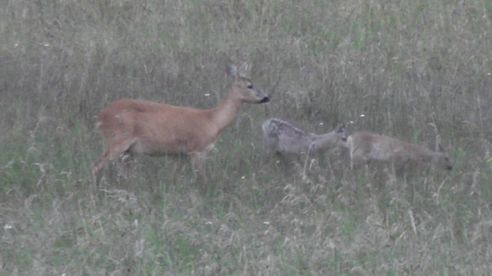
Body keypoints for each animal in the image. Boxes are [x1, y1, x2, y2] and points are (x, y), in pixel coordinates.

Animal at [92, 64, 270, 181]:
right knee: (96, 166)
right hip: (117, 140)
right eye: (250, 85)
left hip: (126, 150)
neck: (213, 120)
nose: (266, 97)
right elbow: (202, 178)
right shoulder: (197, 149)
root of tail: (100, 116)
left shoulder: (180, 154)